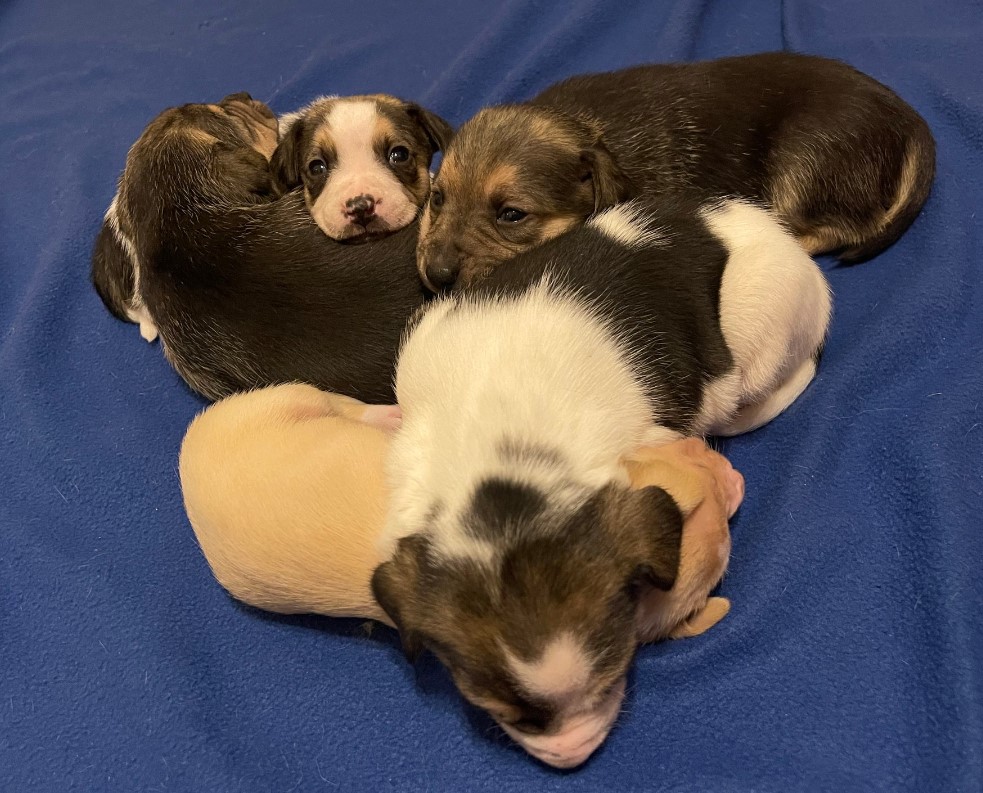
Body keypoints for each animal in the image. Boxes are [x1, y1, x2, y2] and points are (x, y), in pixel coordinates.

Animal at [372, 198, 836, 768]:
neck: (494, 445)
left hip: (758, 330)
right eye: (507, 714)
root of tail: (793, 252)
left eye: (610, 680)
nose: (572, 756)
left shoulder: (653, 440)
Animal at [418, 51, 936, 290]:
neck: (587, 130)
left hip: (804, 159)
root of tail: (910, 120)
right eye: (437, 198)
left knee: (842, 226)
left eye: (511, 215)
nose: (435, 275)